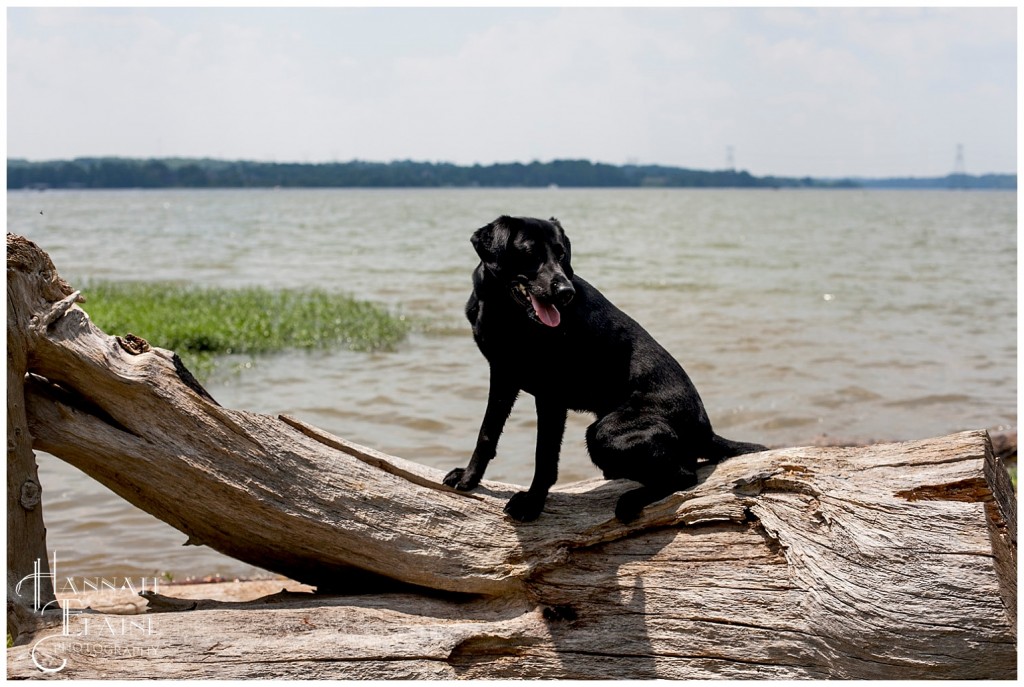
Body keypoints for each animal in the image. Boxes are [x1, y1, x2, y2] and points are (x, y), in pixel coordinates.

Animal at [444, 218, 765, 524]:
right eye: (530, 253)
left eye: (562, 254)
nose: (566, 292)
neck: (502, 309)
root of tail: (706, 430)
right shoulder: (502, 375)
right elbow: (487, 433)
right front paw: (469, 478)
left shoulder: (551, 395)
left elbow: (544, 455)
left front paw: (532, 504)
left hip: (604, 434)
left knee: (685, 475)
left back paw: (631, 500)